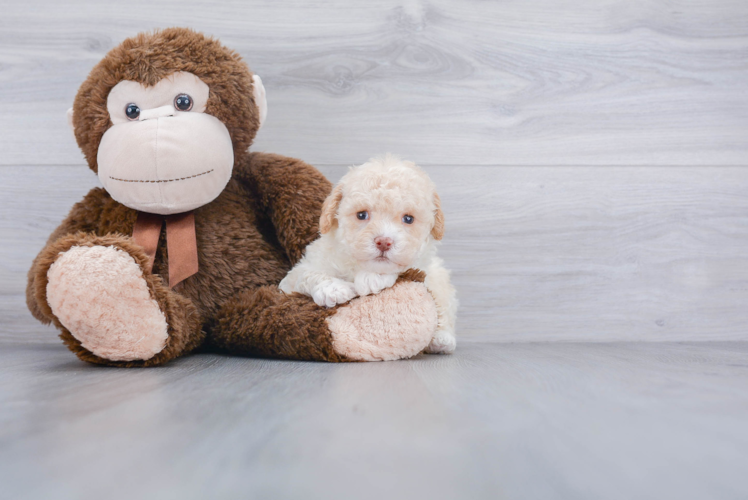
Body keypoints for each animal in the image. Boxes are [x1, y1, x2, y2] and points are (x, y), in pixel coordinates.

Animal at [280, 154, 456, 354]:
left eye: (408, 219)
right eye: (362, 215)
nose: (384, 242)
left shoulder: (424, 265)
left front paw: (373, 277)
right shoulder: (292, 279)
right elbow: (307, 275)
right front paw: (331, 288)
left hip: (440, 279)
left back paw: (442, 339)